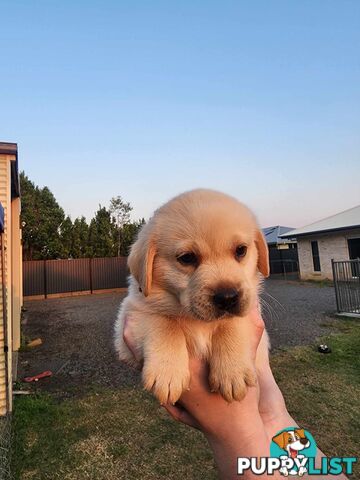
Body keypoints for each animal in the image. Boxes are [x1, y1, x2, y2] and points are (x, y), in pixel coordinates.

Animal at [114, 189, 268, 404]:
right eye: (187, 258)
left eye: (241, 250)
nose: (228, 297)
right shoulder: (132, 313)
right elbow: (165, 324)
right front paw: (167, 373)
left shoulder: (252, 308)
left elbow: (231, 323)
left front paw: (232, 372)